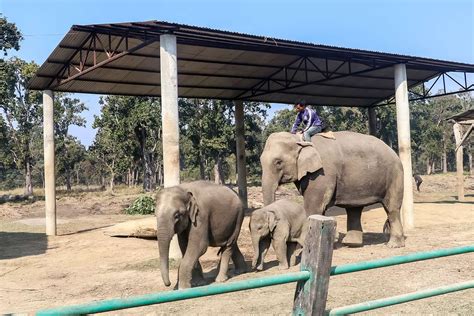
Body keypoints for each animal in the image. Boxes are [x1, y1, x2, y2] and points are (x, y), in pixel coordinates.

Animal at [262, 132, 406, 248]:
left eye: (278, 162)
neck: (300, 140)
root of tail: (392, 150)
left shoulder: (322, 173)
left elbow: (314, 207)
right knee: (354, 209)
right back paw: (351, 243)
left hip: (395, 175)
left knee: (392, 208)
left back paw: (394, 245)